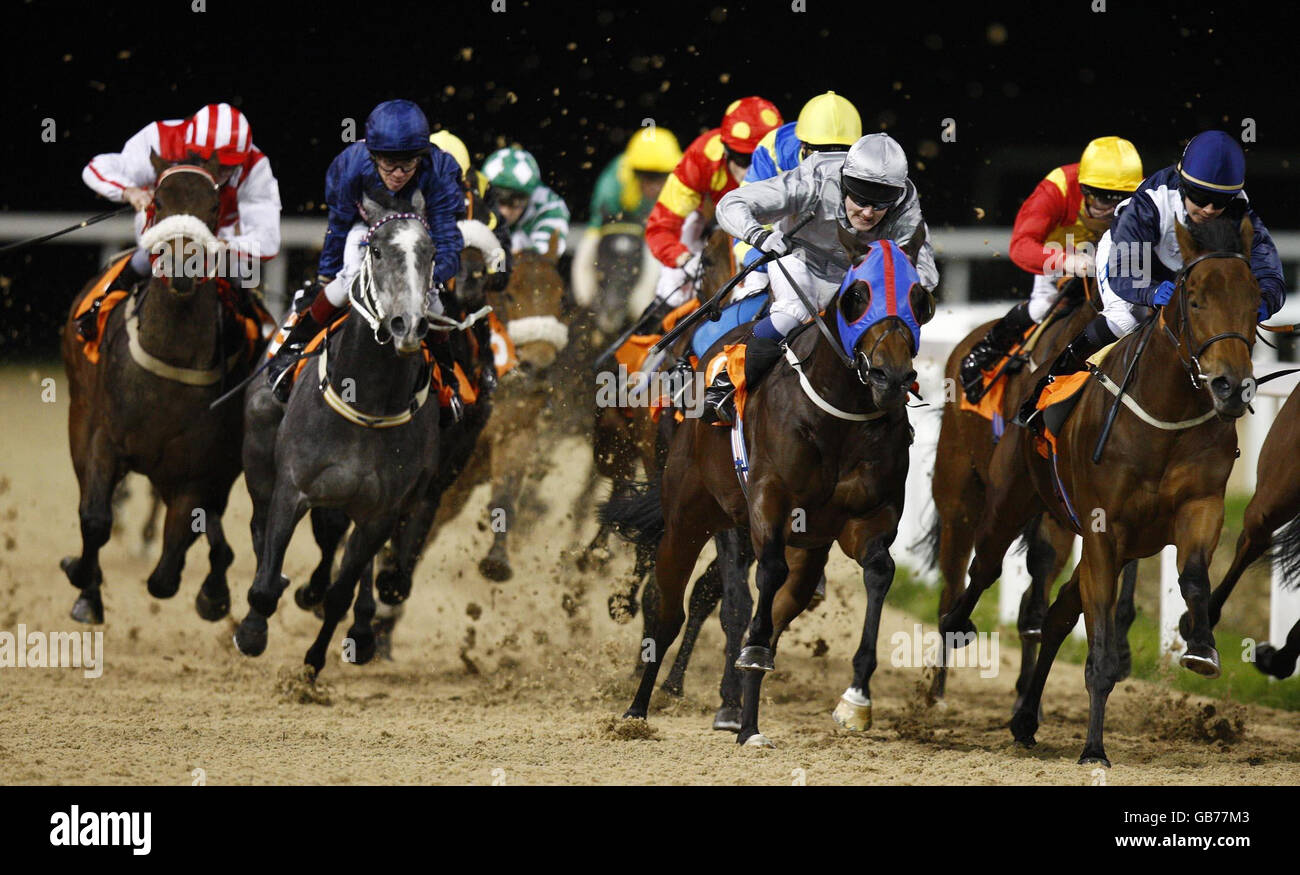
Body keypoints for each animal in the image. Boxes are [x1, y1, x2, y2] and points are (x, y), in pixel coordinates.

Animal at [61, 153, 263, 624]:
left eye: (213, 207)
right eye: (157, 200)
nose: (182, 270)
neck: (170, 358)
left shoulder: (193, 472)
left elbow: (168, 571)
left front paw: (211, 594)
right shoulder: (105, 439)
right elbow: (94, 519)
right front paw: (85, 586)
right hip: (79, 415)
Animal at [237, 191, 447, 670]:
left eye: (430, 252)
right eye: (377, 250)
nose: (408, 325)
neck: (367, 402)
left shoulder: (380, 512)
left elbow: (341, 590)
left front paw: (315, 660)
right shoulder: (293, 489)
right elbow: (265, 578)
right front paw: (253, 630)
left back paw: (361, 626)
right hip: (259, 461)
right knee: (261, 529)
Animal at [611, 231, 930, 743]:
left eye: (921, 301)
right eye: (856, 297)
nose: (892, 376)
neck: (838, 416)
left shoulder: (865, 517)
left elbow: (879, 572)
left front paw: (855, 699)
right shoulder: (764, 504)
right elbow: (748, 596)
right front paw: (735, 709)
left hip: (804, 548)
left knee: (769, 603)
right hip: (687, 515)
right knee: (667, 606)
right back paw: (639, 706)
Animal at [946, 214, 1258, 759]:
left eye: (1255, 301)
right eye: (1195, 299)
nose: (1230, 386)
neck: (1164, 416)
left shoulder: (1198, 507)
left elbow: (1194, 576)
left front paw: (1201, 646)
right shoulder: (1101, 530)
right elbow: (1099, 648)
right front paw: (1094, 747)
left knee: (1056, 615)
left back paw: (1025, 717)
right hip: (1011, 499)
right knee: (984, 567)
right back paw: (957, 626)